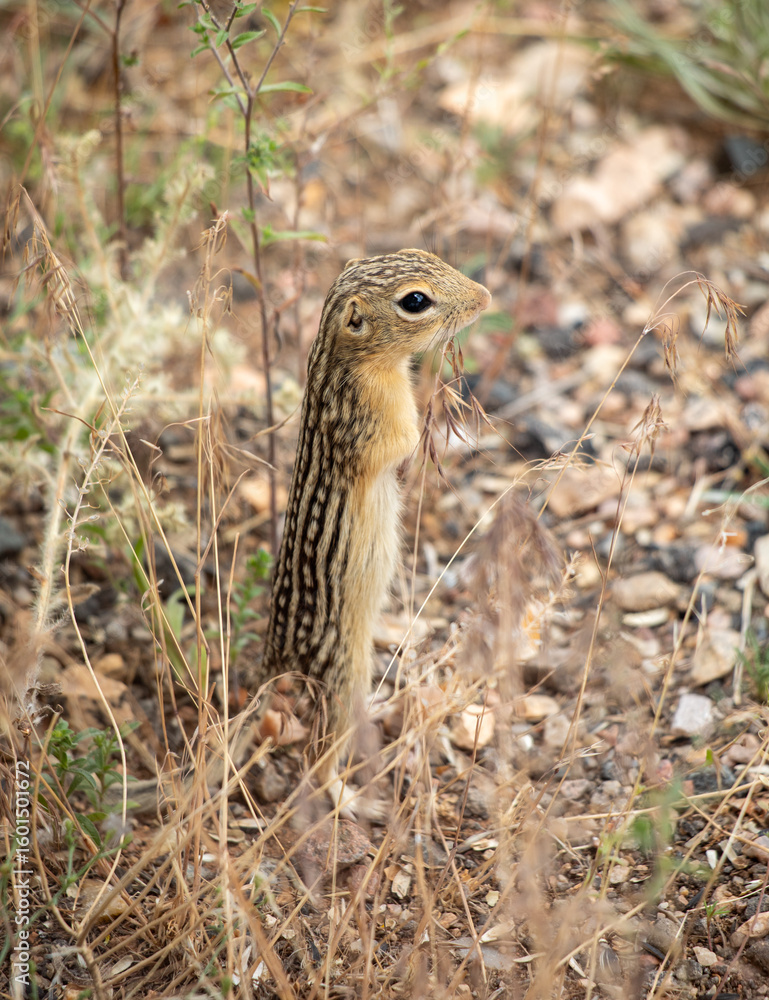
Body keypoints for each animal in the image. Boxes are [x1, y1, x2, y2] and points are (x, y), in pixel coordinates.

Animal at [258, 248, 491, 813]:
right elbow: (403, 444)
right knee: (318, 757)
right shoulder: (375, 420)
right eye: (416, 301)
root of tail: (279, 657)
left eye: (428, 255)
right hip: (344, 681)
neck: (343, 363)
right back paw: (353, 800)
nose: (485, 296)